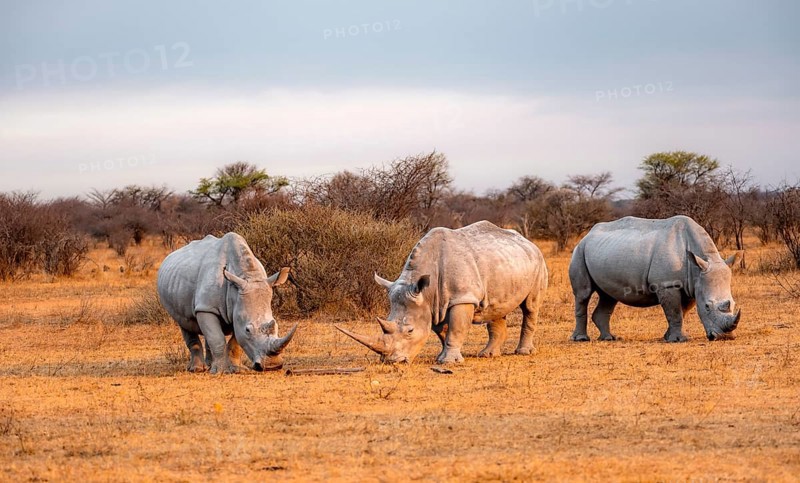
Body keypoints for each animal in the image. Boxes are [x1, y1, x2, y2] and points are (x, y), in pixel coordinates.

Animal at [157, 233, 296, 374]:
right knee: (185, 323)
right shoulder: (206, 307)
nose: (272, 365)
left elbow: (235, 343)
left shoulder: (238, 310)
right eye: (248, 330)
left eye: (277, 326)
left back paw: (209, 365)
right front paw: (218, 371)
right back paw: (197, 369)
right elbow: (217, 339)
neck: (248, 275)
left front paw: (237, 369)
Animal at [336, 221, 548, 364]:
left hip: (538, 261)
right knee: (496, 308)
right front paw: (442, 355)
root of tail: (528, 242)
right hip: (506, 265)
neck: (427, 291)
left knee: (530, 306)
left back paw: (524, 352)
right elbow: (442, 330)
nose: (392, 362)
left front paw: (448, 362)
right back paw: (487, 355)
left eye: (410, 330)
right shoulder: (433, 303)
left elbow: (456, 328)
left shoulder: (462, 298)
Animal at [569, 215, 740, 343]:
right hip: (579, 251)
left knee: (608, 296)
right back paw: (581, 339)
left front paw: (668, 337)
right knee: (583, 294)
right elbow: (674, 311)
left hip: (604, 252)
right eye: (707, 306)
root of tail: (587, 235)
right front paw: (678, 340)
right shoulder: (667, 284)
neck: (698, 267)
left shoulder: (692, 284)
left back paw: (609, 338)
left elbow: (681, 311)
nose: (724, 338)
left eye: (733, 304)